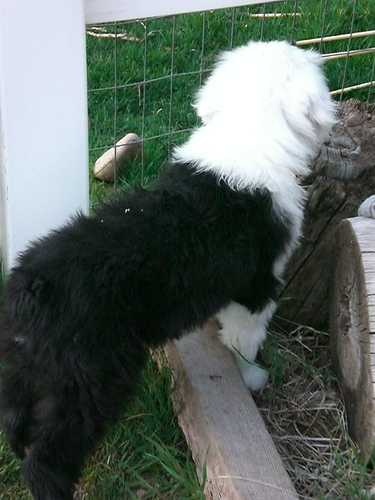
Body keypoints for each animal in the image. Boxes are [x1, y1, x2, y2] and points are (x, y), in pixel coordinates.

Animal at [0, 41, 334, 498]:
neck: (248, 128)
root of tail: (32, 285)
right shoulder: (258, 284)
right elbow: (245, 339)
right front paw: (251, 378)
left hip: (31, 364)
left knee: (17, 420)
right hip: (89, 377)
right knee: (48, 457)